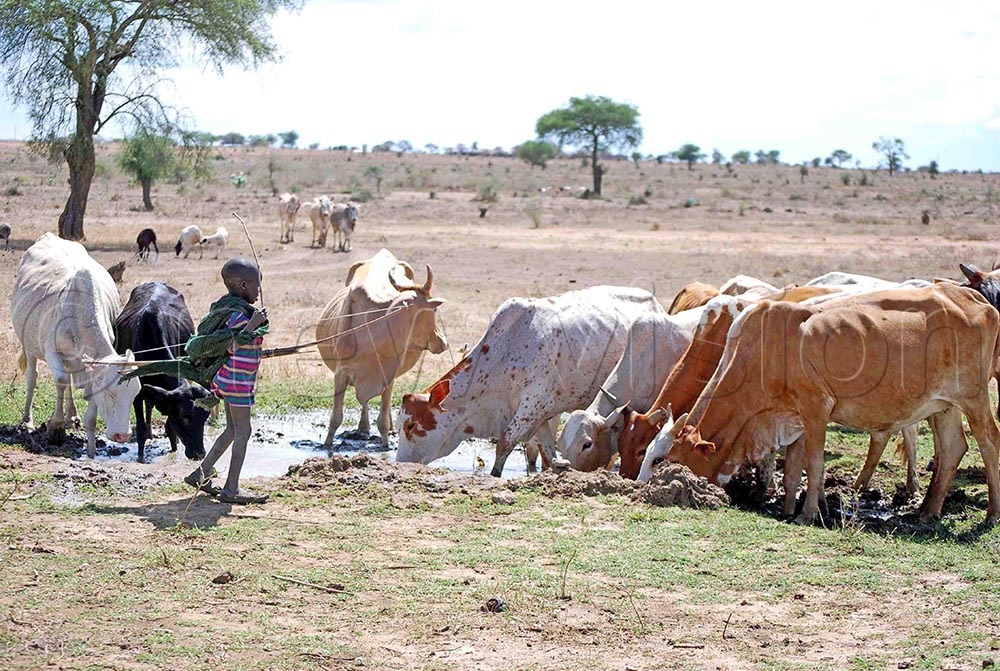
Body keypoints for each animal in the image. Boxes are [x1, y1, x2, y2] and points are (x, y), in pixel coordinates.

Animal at [11, 233, 142, 457]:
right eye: (109, 392)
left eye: (134, 393)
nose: (122, 436)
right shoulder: (52, 351)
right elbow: (61, 380)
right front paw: (55, 428)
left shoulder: (91, 365)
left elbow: (89, 410)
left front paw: (90, 452)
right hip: (28, 344)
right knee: (32, 377)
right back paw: (27, 420)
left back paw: (72, 415)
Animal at [115, 282, 211, 462]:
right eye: (185, 417)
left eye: (205, 417)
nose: (200, 454)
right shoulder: (137, 391)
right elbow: (140, 428)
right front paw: (141, 458)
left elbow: (169, 427)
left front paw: (174, 450)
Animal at [316, 249, 448, 447]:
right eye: (434, 310)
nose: (443, 341)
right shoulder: (341, 373)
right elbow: (336, 418)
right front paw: (327, 444)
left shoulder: (388, 374)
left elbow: (383, 419)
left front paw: (385, 445)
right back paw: (363, 428)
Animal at [395, 286, 665, 476]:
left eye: (411, 425)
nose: (400, 465)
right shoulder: (542, 415)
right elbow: (548, 451)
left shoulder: (531, 406)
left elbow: (505, 443)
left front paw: (495, 475)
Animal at [640, 283, 1000, 525]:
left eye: (664, 460)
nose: (642, 491)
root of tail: (973, 298)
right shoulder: (793, 419)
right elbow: (792, 469)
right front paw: (787, 508)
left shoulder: (816, 409)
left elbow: (813, 465)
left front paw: (808, 513)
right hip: (943, 406)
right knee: (952, 448)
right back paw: (926, 511)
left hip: (974, 398)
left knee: (988, 441)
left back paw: (991, 513)